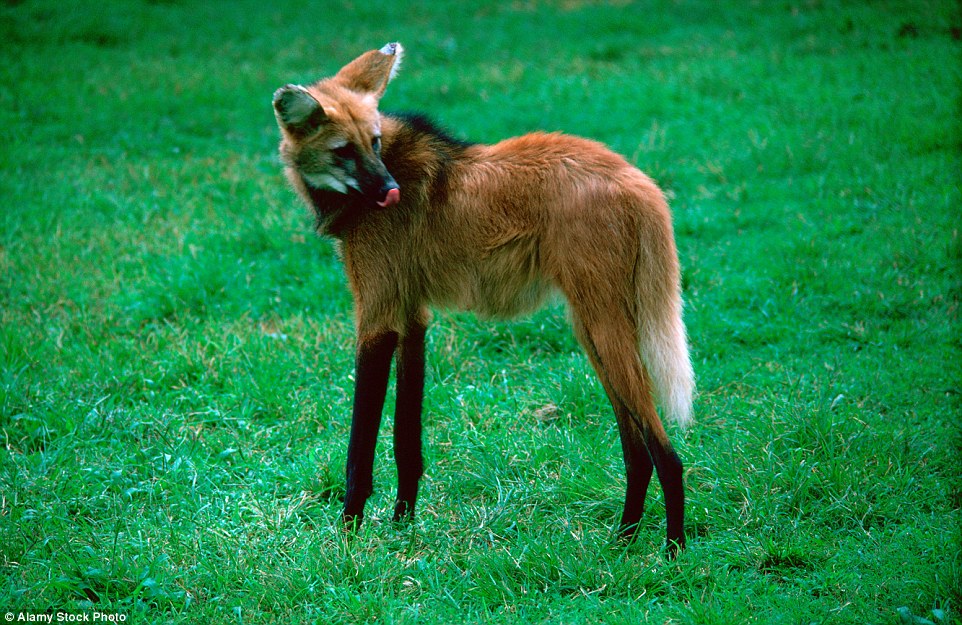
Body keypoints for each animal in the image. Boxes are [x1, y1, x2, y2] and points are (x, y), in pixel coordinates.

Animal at [274, 41, 692, 552]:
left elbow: (361, 449)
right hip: (592, 328)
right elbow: (406, 439)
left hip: (602, 325)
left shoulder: (376, 318)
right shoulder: (412, 316)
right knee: (637, 450)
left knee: (667, 455)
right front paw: (402, 525)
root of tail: (641, 181)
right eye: (343, 150)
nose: (391, 191)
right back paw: (624, 539)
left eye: (371, 143)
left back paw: (672, 551)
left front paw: (349, 537)